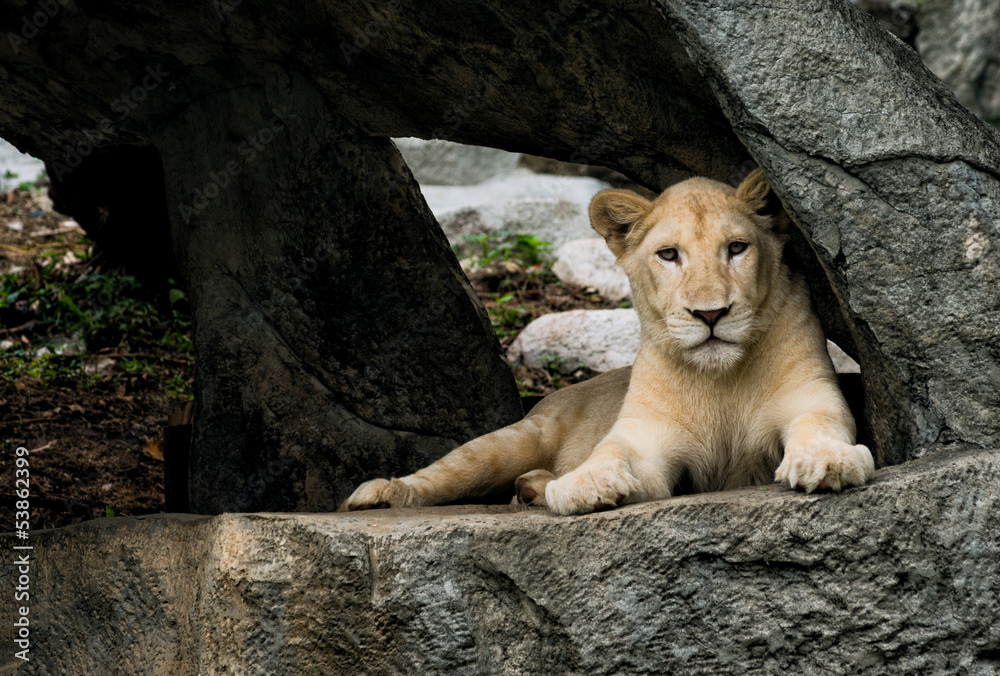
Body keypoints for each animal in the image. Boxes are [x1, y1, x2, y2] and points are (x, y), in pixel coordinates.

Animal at [343, 169, 875, 515]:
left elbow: (819, 425)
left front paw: (828, 461)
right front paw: (584, 485)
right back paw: (382, 494)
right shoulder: (646, 435)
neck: (721, 378)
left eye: (737, 248)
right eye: (669, 255)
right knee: (449, 471)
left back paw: (533, 488)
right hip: (512, 440)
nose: (709, 314)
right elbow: (611, 452)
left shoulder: (812, 396)